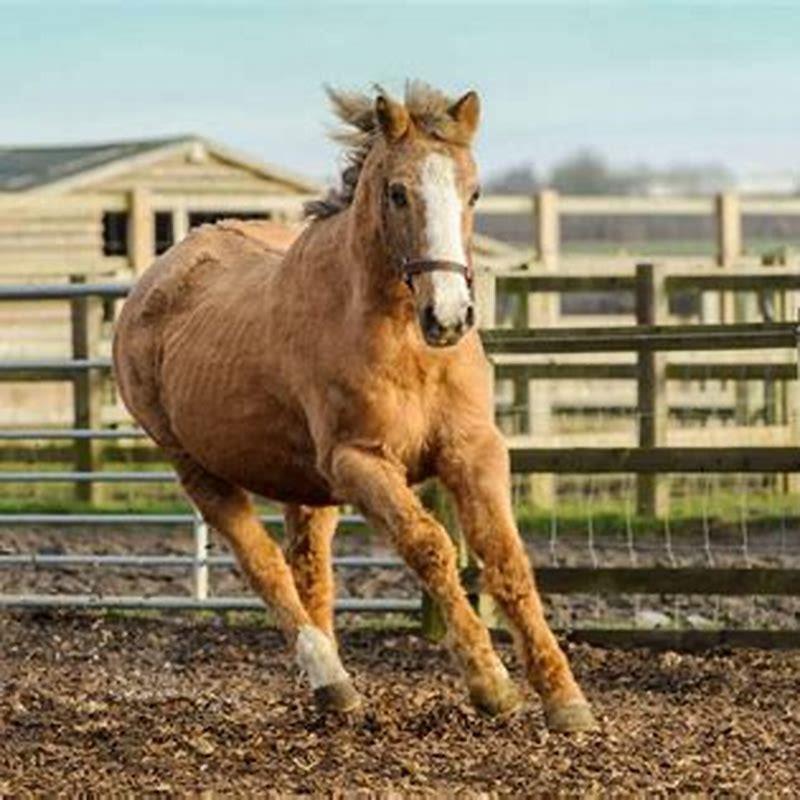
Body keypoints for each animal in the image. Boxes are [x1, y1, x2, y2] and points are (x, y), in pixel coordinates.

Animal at [113, 82, 596, 732]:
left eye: (473, 191)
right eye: (398, 192)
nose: (449, 316)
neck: (406, 343)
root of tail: (156, 277)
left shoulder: (474, 450)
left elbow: (506, 558)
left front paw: (565, 698)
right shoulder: (360, 461)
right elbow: (431, 548)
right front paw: (491, 684)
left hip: (304, 487)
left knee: (310, 570)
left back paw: (334, 692)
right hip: (197, 470)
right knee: (266, 567)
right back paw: (328, 676)